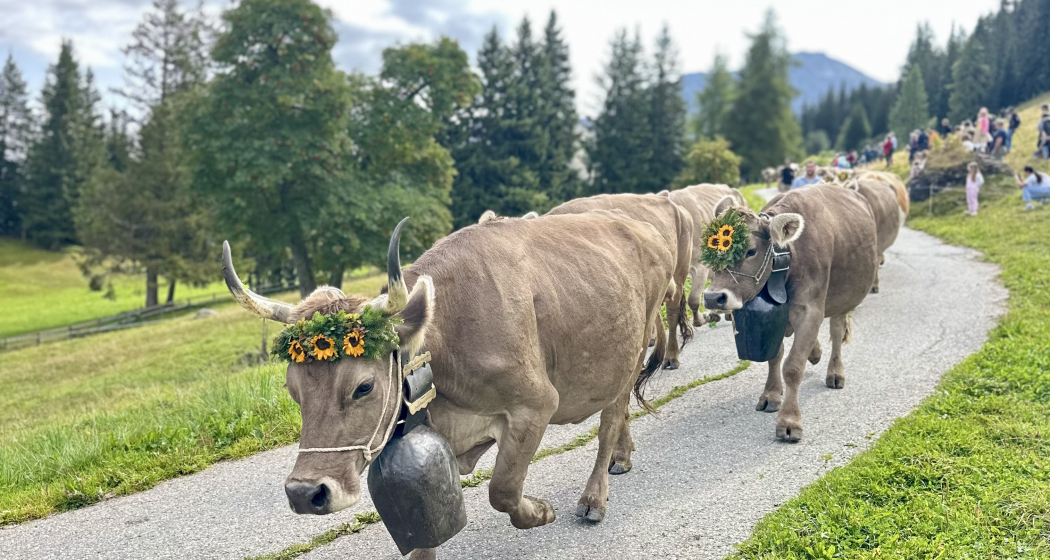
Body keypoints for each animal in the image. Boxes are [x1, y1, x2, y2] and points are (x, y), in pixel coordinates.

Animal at [222, 212, 677, 559]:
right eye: (292, 391)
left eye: (363, 387)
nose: (304, 493)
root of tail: (636, 224)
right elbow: (423, 537)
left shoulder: (536, 404)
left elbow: (502, 489)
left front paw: (542, 511)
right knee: (619, 416)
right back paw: (622, 457)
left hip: (634, 347)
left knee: (609, 422)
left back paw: (594, 498)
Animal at [702, 185, 878, 442]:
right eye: (708, 250)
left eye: (751, 251)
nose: (713, 297)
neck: (788, 260)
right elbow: (775, 357)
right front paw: (771, 395)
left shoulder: (810, 310)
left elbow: (793, 367)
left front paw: (789, 421)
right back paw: (815, 352)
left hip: (844, 297)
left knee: (837, 332)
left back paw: (835, 373)